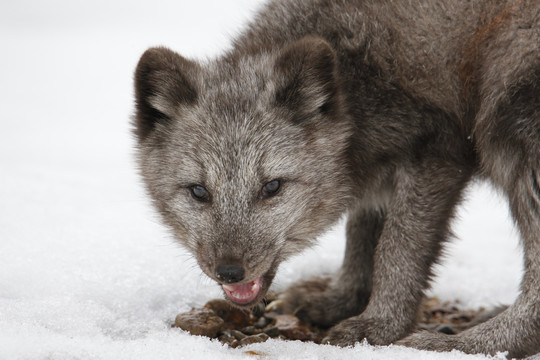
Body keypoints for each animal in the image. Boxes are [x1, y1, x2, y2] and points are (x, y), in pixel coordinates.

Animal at [133, 0, 536, 358]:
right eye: (199, 191)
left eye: (272, 187)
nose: (230, 272)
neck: (353, 76)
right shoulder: (379, 176)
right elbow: (362, 236)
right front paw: (341, 301)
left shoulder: (438, 153)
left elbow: (396, 248)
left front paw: (379, 326)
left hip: (509, 114)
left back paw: (461, 346)